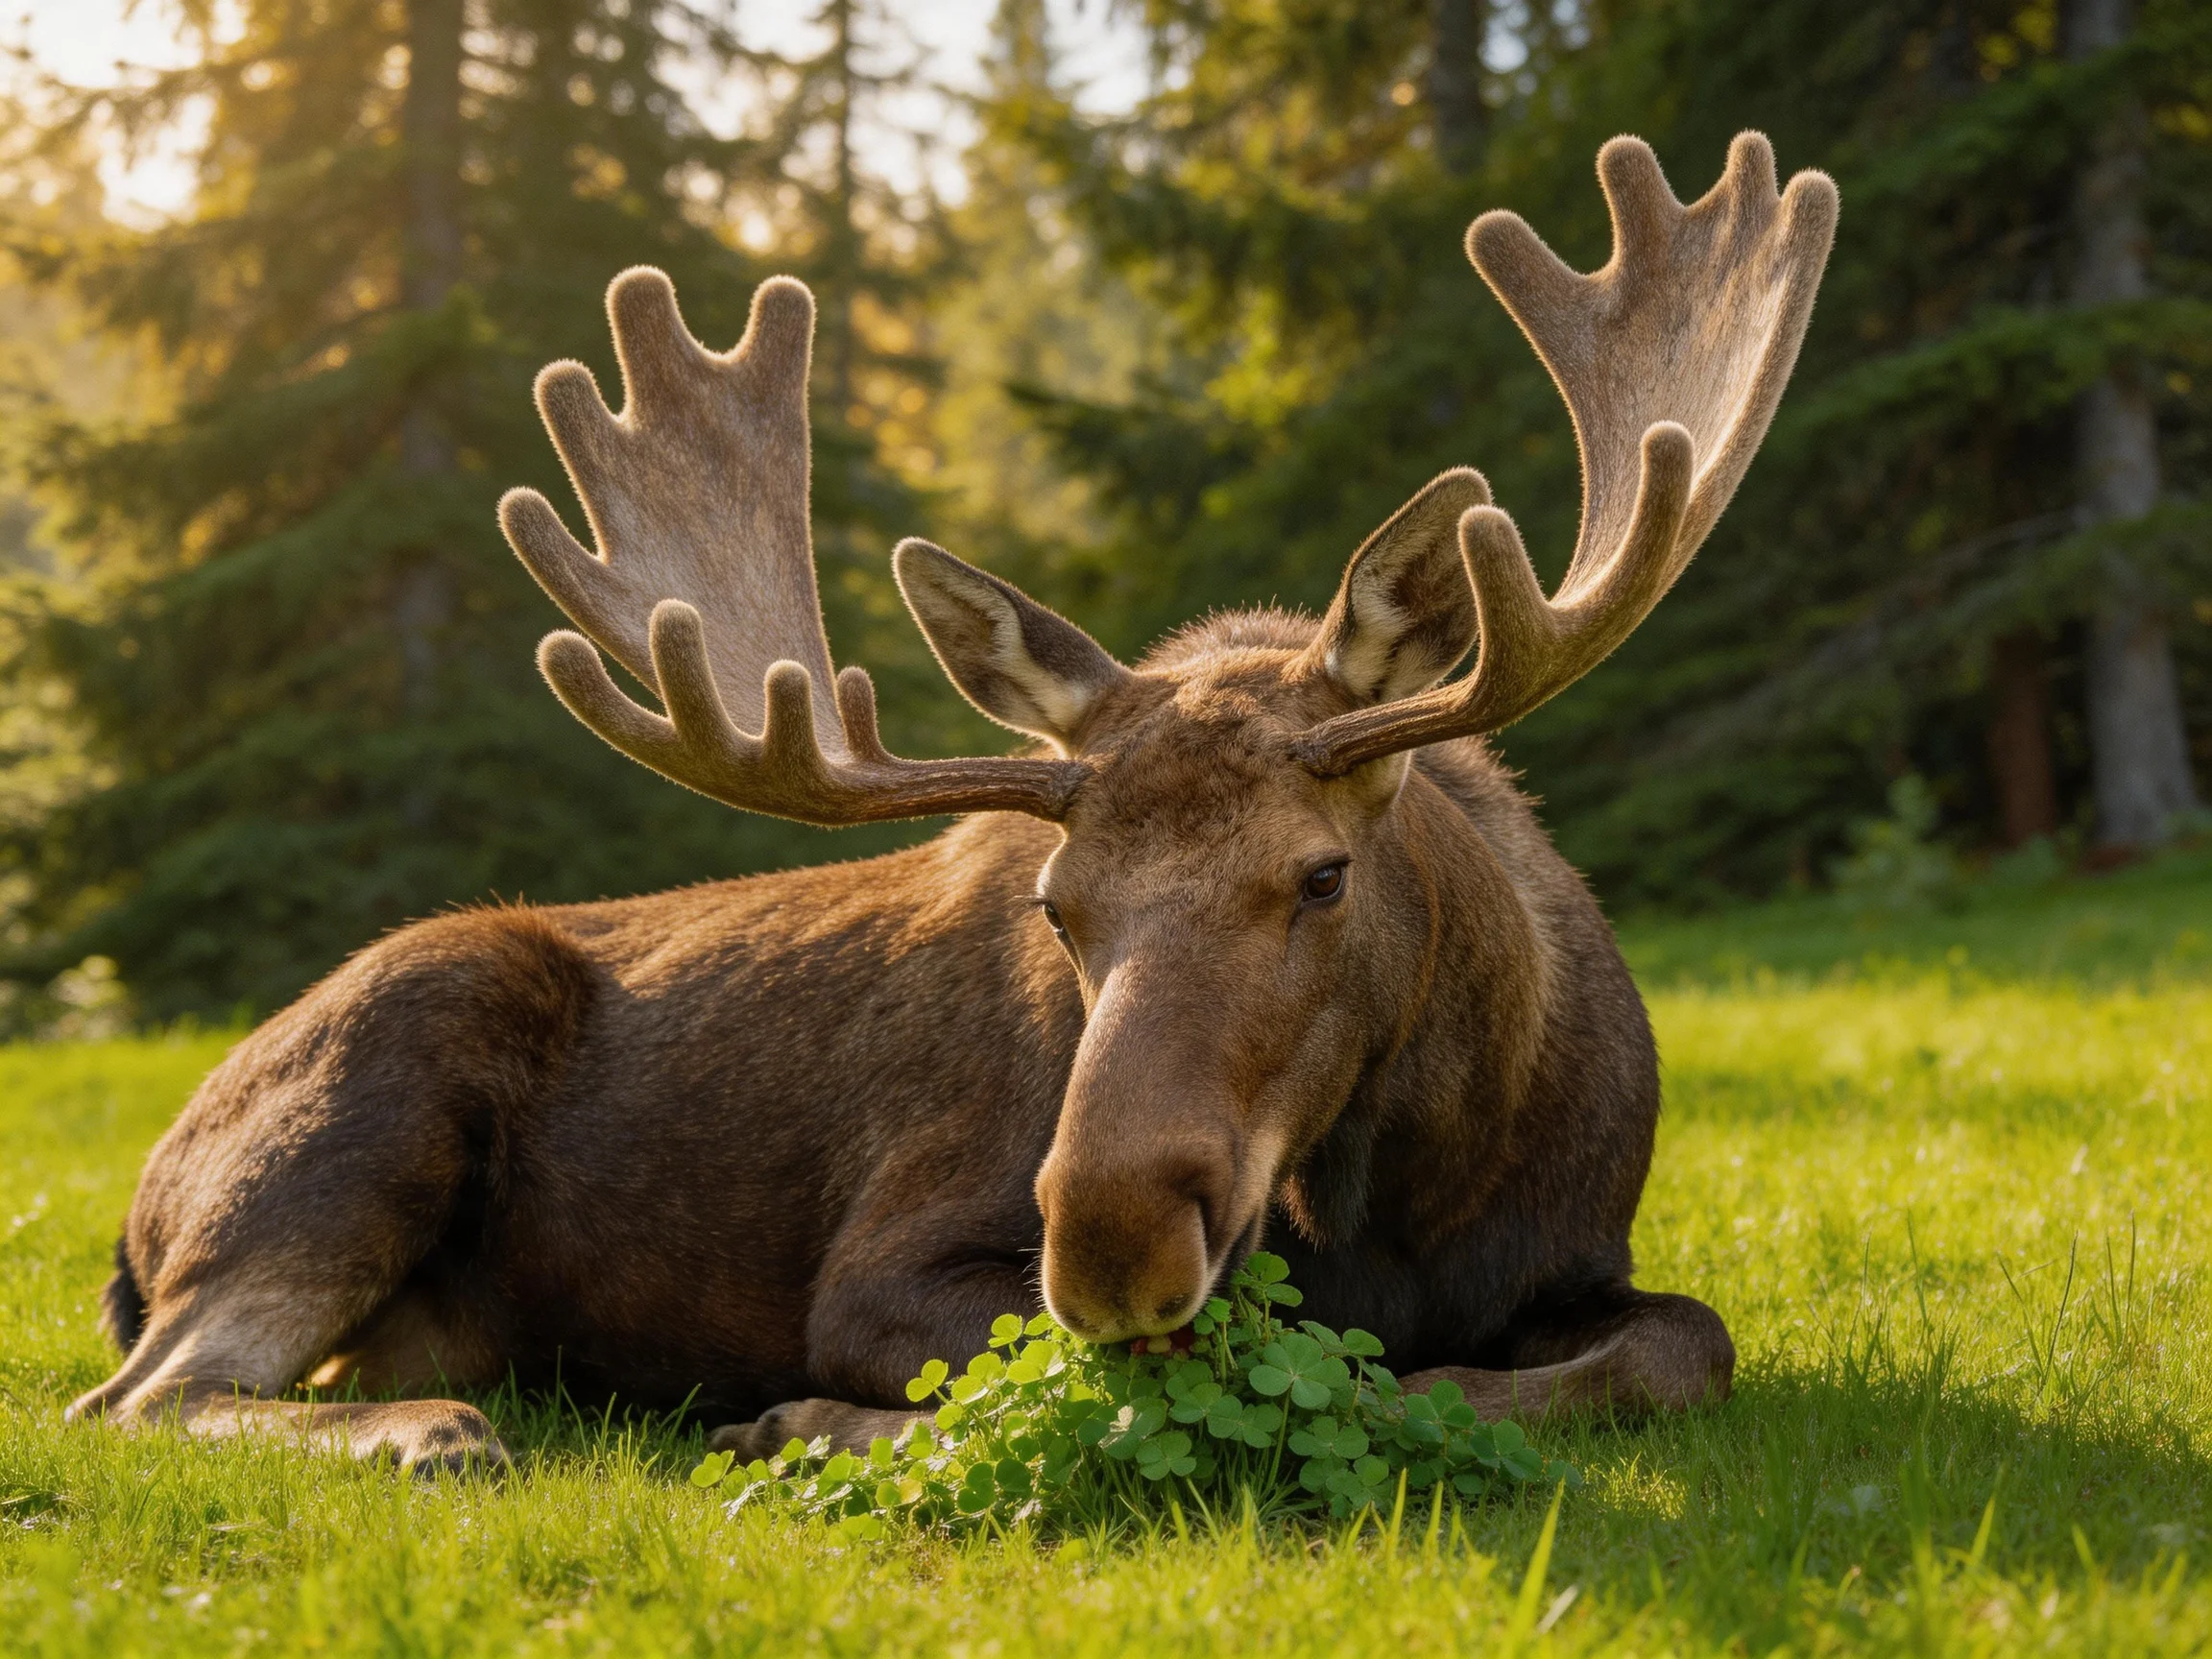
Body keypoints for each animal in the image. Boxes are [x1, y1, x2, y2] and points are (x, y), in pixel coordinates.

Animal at [66, 134, 1835, 1472]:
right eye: (1057, 907)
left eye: (1322, 874)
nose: (1107, 1235)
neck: (1412, 1184)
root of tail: (135, 1218)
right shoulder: (888, 1258)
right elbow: (1105, 1363)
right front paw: (800, 1418)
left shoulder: (1586, 1255)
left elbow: (1682, 1343)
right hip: (360, 1096)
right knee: (135, 1395)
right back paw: (435, 1433)